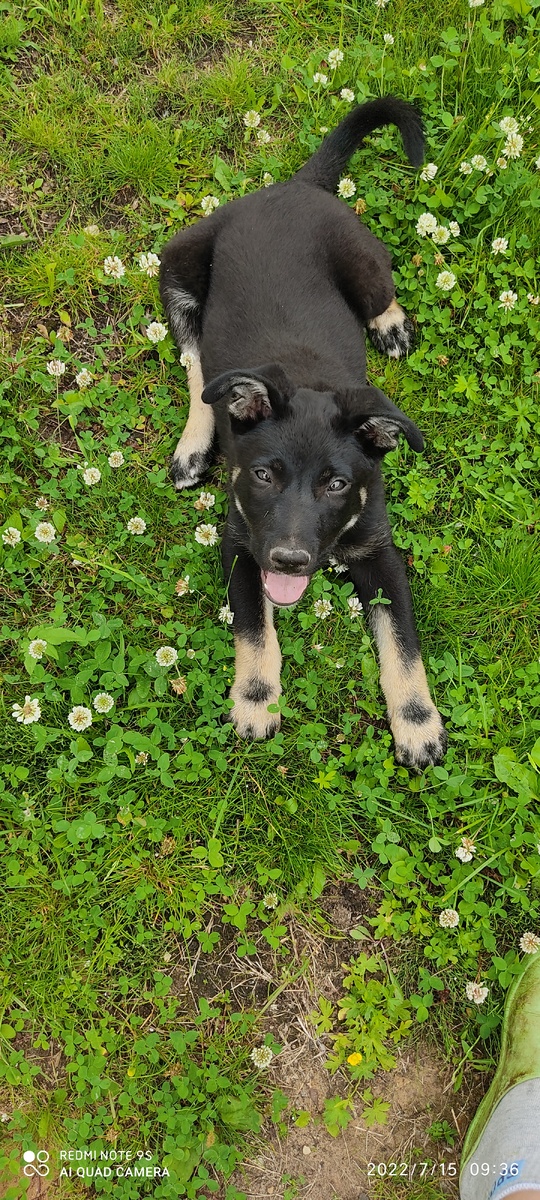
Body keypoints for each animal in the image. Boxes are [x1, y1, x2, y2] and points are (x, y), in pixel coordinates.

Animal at [160, 96, 446, 768]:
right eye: (264, 475)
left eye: (338, 485)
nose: (290, 559)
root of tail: (297, 186)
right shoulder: (242, 545)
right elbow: (254, 627)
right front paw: (256, 699)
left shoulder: (381, 555)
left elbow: (403, 644)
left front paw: (417, 722)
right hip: (176, 266)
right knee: (195, 362)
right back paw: (194, 443)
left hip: (363, 265)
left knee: (384, 291)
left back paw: (390, 325)